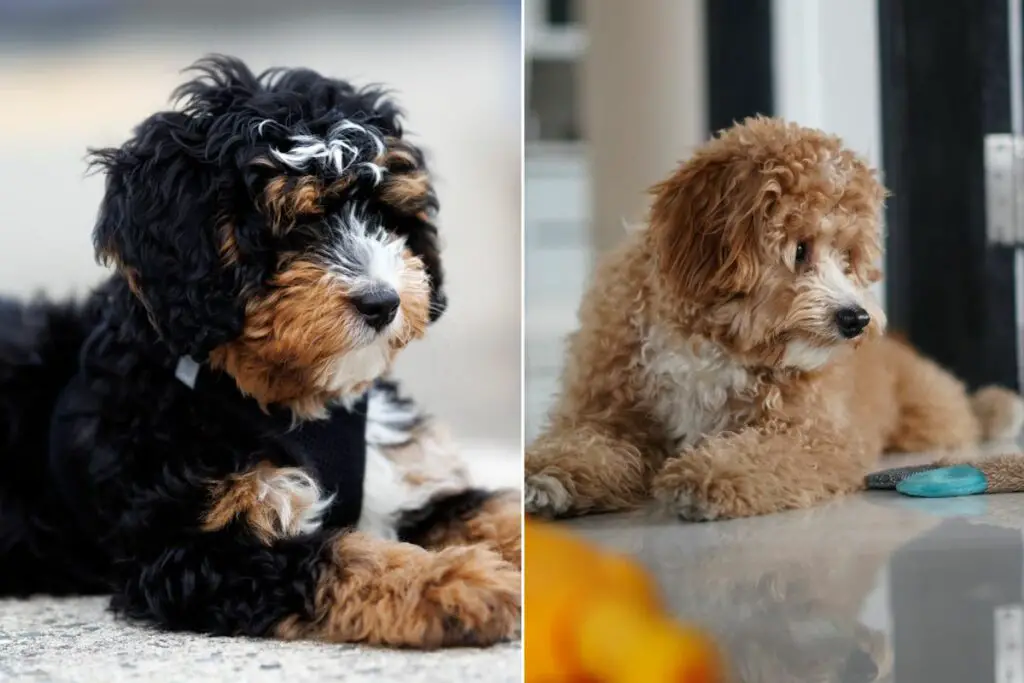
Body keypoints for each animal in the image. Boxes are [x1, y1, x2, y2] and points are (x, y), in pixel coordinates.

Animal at [0, 56, 520, 651]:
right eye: (291, 225)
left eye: (384, 217)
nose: (383, 302)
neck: (298, 400)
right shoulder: (198, 550)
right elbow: (335, 555)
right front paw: (452, 581)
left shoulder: (404, 477)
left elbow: (485, 506)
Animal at [528, 118, 1024, 524]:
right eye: (800, 248)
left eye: (848, 257)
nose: (856, 319)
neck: (709, 339)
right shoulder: (605, 412)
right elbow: (586, 443)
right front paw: (549, 475)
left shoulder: (813, 432)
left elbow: (767, 452)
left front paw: (710, 474)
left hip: (930, 416)